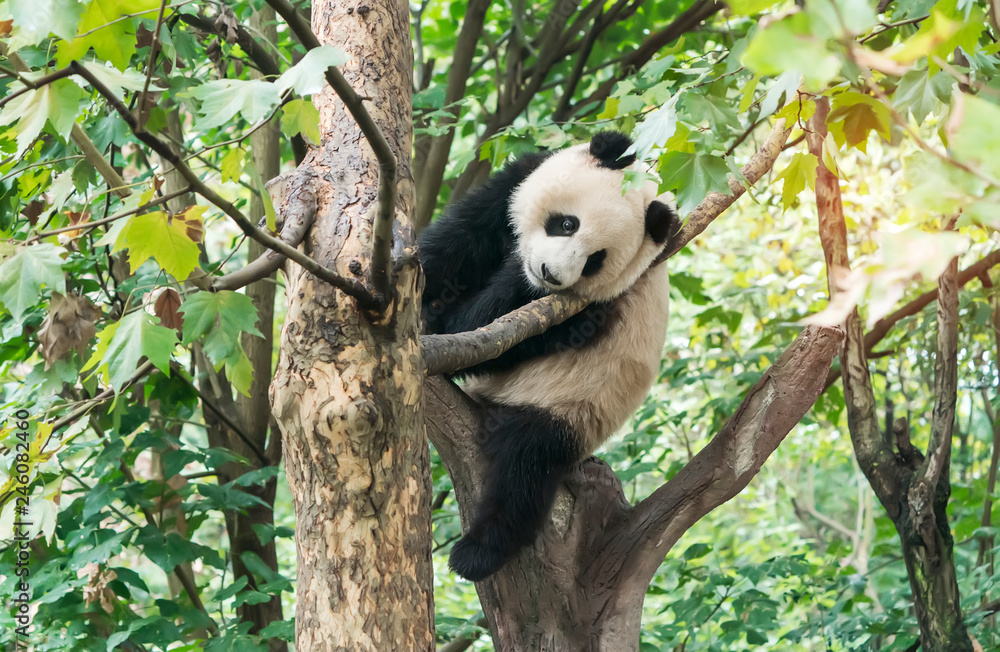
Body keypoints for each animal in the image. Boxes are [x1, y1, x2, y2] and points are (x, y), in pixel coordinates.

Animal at [419, 131, 678, 582]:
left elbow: (493, 334)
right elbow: (458, 243)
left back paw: (477, 552)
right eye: (567, 224)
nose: (550, 274)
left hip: (571, 407)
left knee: (525, 467)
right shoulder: (515, 184)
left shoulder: (596, 306)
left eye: (595, 260)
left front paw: (441, 324)